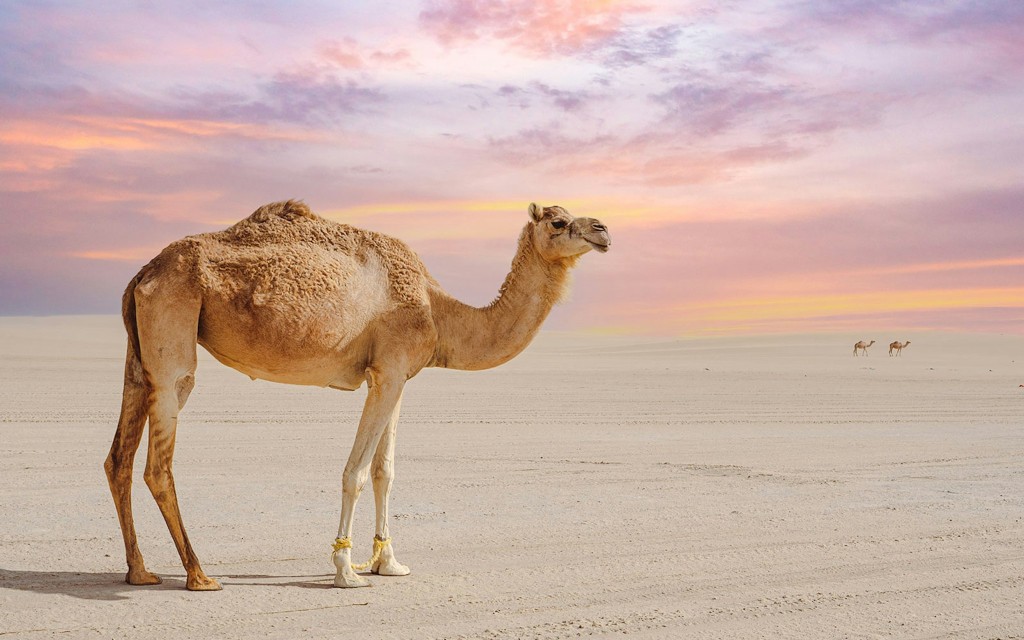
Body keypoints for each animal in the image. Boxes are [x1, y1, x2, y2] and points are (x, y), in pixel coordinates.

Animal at [104, 200, 610, 591]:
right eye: (557, 222)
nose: (603, 229)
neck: (438, 310)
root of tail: (144, 271)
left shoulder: (394, 375)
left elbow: (386, 471)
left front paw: (389, 563)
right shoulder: (388, 370)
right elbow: (357, 472)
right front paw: (346, 570)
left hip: (139, 351)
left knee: (119, 456)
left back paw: (140, 571)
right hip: (175, 325)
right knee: (160, 456)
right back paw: (199, 574)